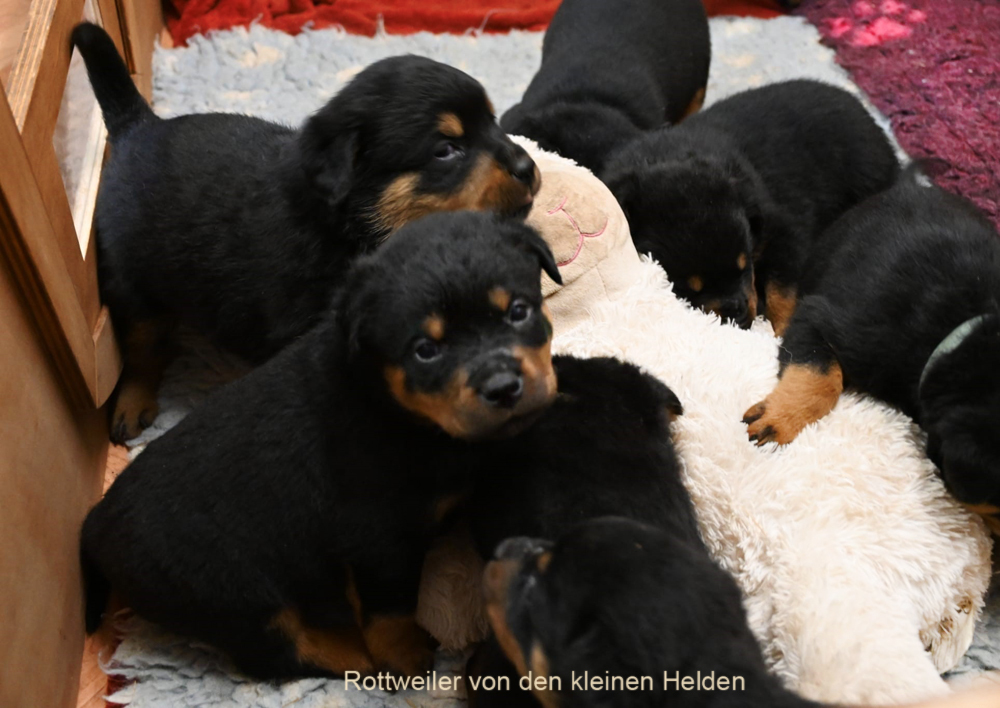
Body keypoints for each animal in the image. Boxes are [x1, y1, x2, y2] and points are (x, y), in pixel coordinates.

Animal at [71, 23, 541, 443]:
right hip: (130, 280)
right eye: (446, 150)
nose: (528, 166)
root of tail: (137, 127)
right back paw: (133, 405)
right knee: (141, 347)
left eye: (493, 121)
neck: (346, 227)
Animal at [80, 211, 562, 681]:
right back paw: (354, 660)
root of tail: (97, 520)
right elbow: (390, 610)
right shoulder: (376, 541)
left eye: (519, 311)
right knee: (275, 655)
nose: (502, 387)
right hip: (230, 595)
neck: (391, 408)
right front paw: (404, 658)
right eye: (425, 350)